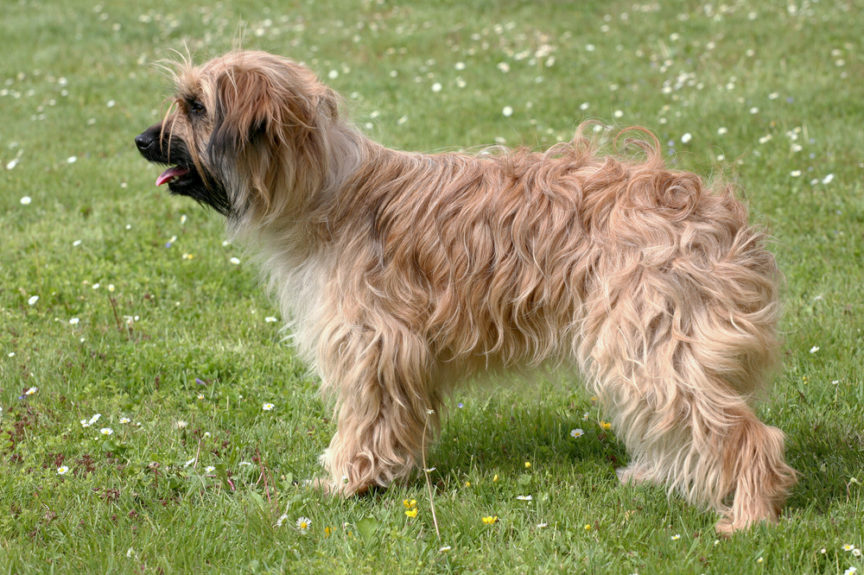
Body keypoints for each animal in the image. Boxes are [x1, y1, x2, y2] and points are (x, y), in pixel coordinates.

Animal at [137, 50, 796, 536]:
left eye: (196, 106)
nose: (143, 141)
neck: (326, 187)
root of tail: (716, 215)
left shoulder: (372, 341)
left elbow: (366, 417)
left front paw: (348, 481)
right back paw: (658, 475)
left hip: (646, 333)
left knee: (745, 432)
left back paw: (749, 517)